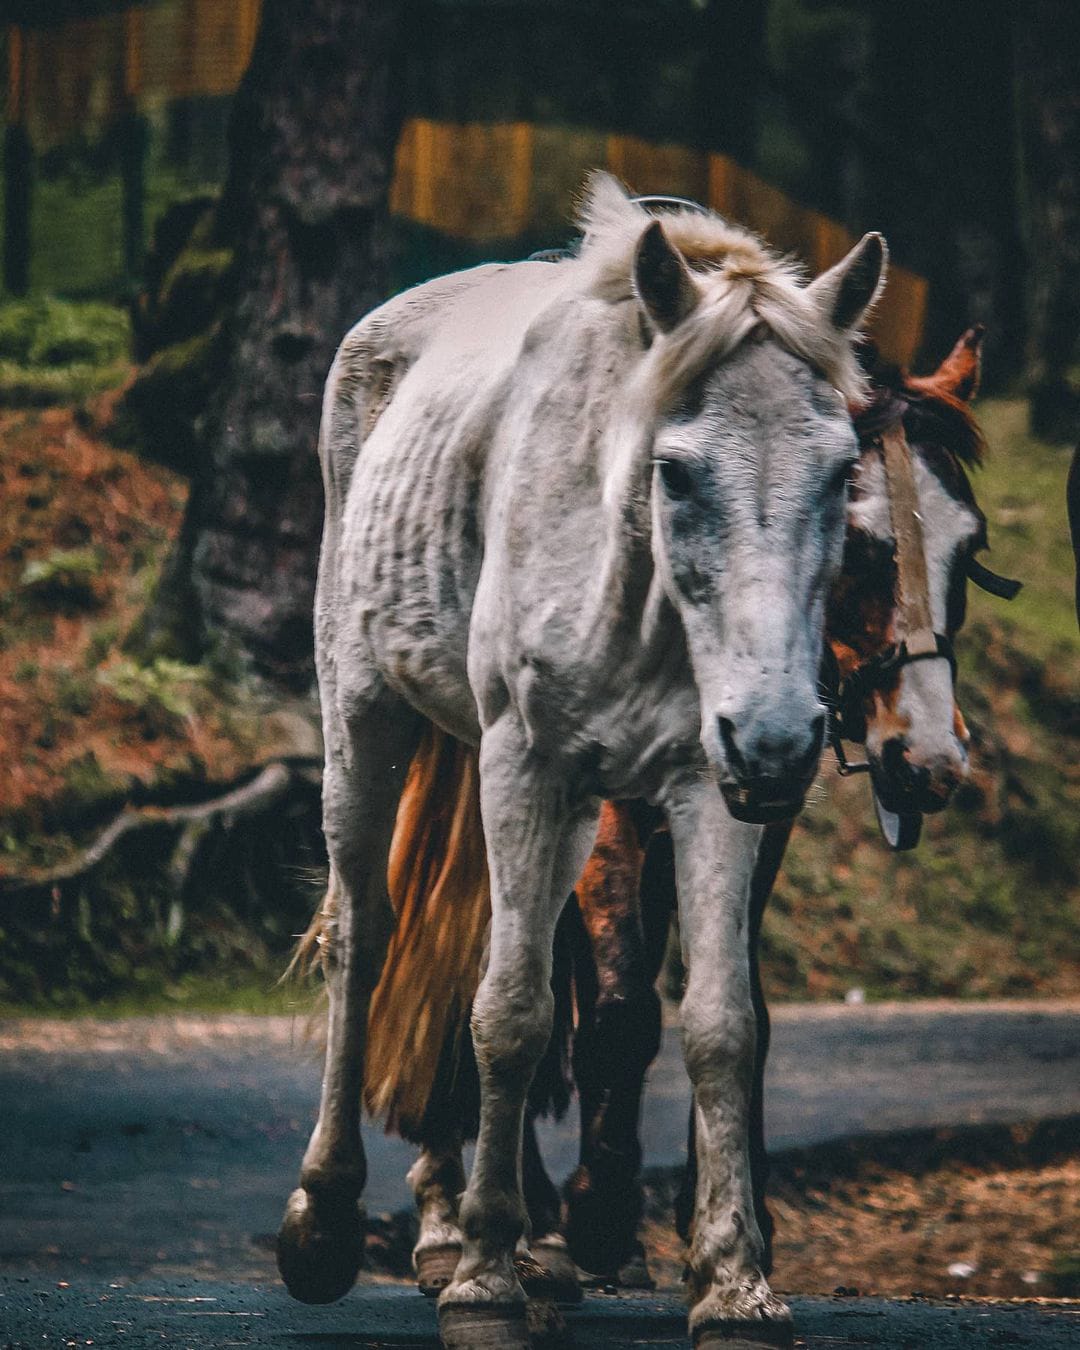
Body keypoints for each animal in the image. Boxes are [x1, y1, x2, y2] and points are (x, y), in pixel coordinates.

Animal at [274, 179, 880, 1350]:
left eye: (843, 470)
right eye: (677, 472)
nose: (783, 737)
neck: (636, 591)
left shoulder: (708, 791)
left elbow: (719, 1025)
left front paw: (735, 1284)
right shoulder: (530, 767)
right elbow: (510, 1016)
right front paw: (483, 1286)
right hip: (368, 722)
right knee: (364, 939)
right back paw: (330, 1222)